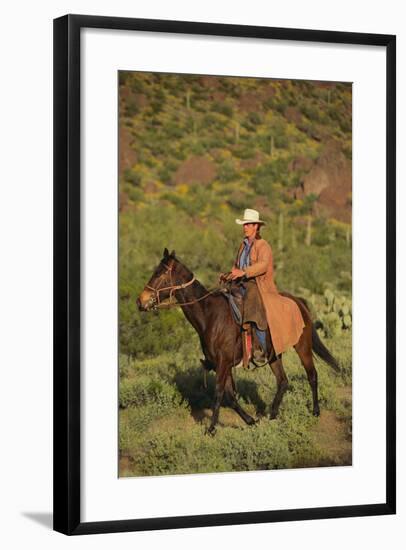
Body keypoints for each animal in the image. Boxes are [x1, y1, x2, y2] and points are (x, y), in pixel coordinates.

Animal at [137, 249, 340, 436]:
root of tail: (298, 301)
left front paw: (211, 429)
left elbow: (219, 393)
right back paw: (272, 415)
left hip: (302, 347)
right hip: (274, 355)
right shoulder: (222, 364)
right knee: (282, 381)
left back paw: (315, 412)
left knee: (312, 375)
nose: (140, 301)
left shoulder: (223, 362)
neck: (210, 316)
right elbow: (230, 395)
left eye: (160, 274)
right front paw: (251, 421)